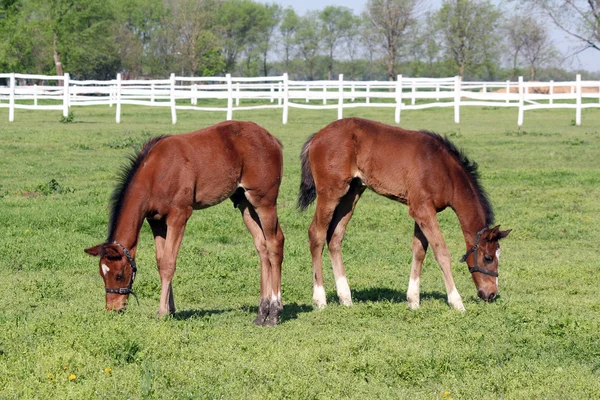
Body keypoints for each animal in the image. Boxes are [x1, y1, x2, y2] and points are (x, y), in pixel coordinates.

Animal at [84, 120, 286, 326]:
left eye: (119, 275)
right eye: (102, 274)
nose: (113, 309)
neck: (156, 172)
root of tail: (272, 139)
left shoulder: (179, 215)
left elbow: (168, 263)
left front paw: (162, 312)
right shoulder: (156, 221)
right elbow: (161, 262)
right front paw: (170, 309)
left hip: (264, 200)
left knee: (275, 242)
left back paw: (274, 313)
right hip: (245, 202)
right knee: (261, 246)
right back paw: (262, 313)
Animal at [298, 117, 508, 310]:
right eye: (488, 258)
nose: (491, 294)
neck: (443, 170)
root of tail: (317, 136)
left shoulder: (422, 211)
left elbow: (419, 251)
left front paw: (413, 301)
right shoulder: (423, 210)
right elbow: (441, 251)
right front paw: (457, 302)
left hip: (353, 192)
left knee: (335, 236)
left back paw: (346, 298)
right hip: (331, 192)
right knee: (316, 233)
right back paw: (320, 300)